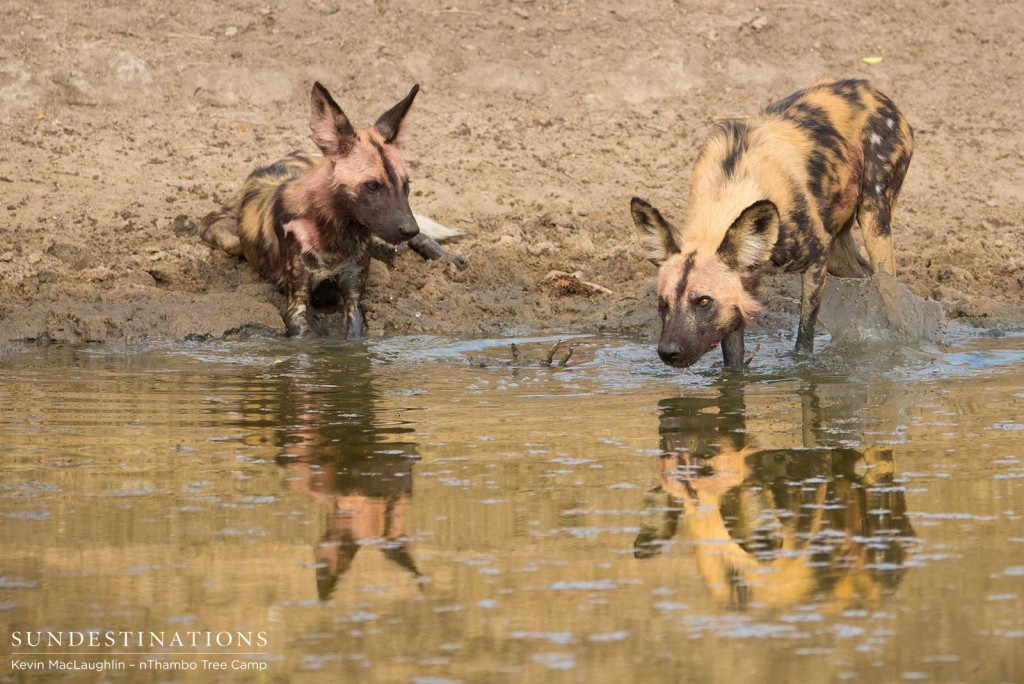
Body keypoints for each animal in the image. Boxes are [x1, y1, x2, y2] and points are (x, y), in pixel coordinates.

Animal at [200, 81, 464, 337]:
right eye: (371, 185)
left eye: (406, 185)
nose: (409, 229)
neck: (335, 234)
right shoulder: (296, 303)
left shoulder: (353, 298)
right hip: (228, 239)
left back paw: (446, 257)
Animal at [626, 78, 917, 368]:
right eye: (663, 303)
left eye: (704, 302)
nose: (667, 352)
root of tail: (869, 89)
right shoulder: (738, 296)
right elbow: (733, 364)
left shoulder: (816, 261)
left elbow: (804, 338)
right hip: (838, 255)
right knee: (865, 280)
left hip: (872, 219)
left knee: (888, 287)